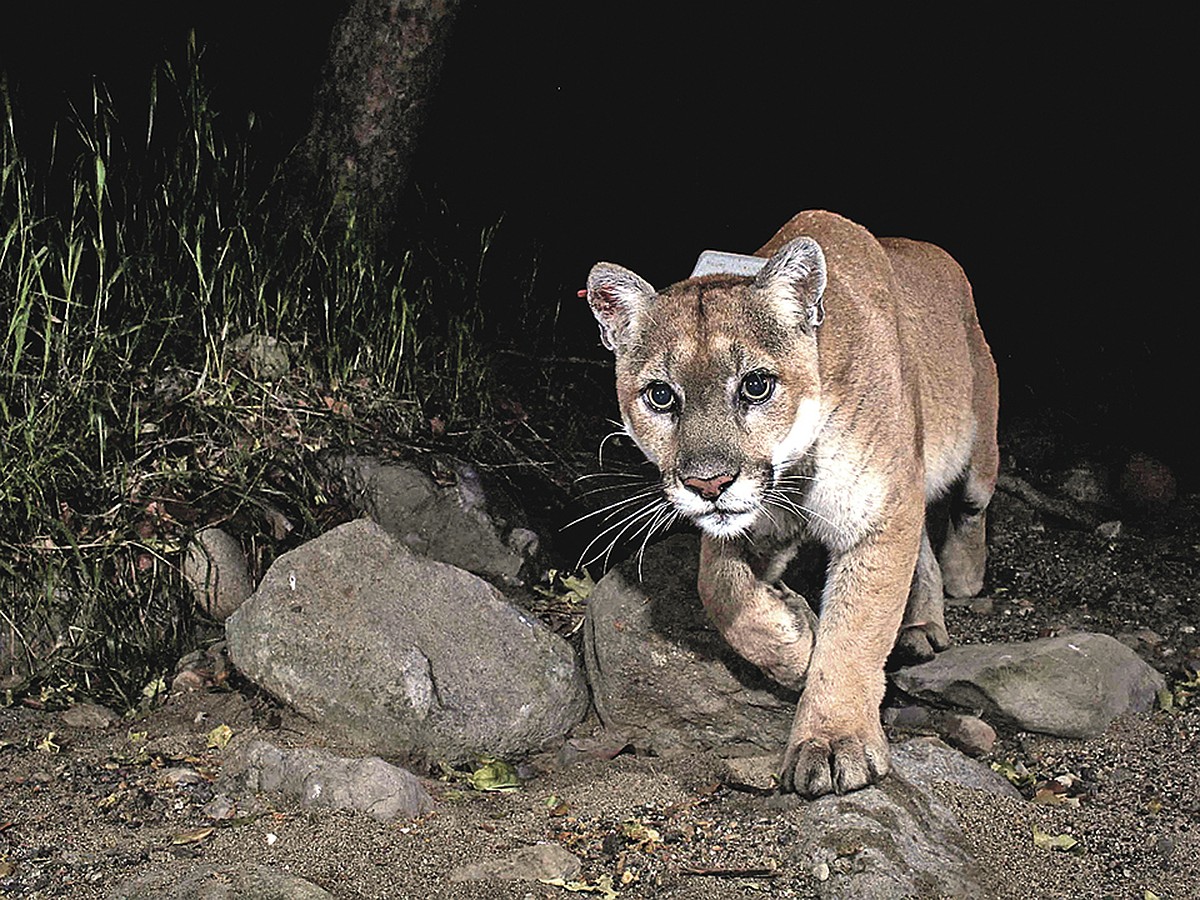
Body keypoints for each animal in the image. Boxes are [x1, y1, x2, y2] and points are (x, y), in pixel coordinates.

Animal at [585, 210, 998, 796]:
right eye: (661, 395)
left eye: (756, 386)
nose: (708, 484)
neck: (796, 469)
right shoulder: (752, 526)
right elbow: (719, 590)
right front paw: (795, 643)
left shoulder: (878, 515)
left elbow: (855, 631)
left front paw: (832, 739)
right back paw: (919, 625)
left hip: (977, 442)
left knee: (970, 507)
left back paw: (964, 577)